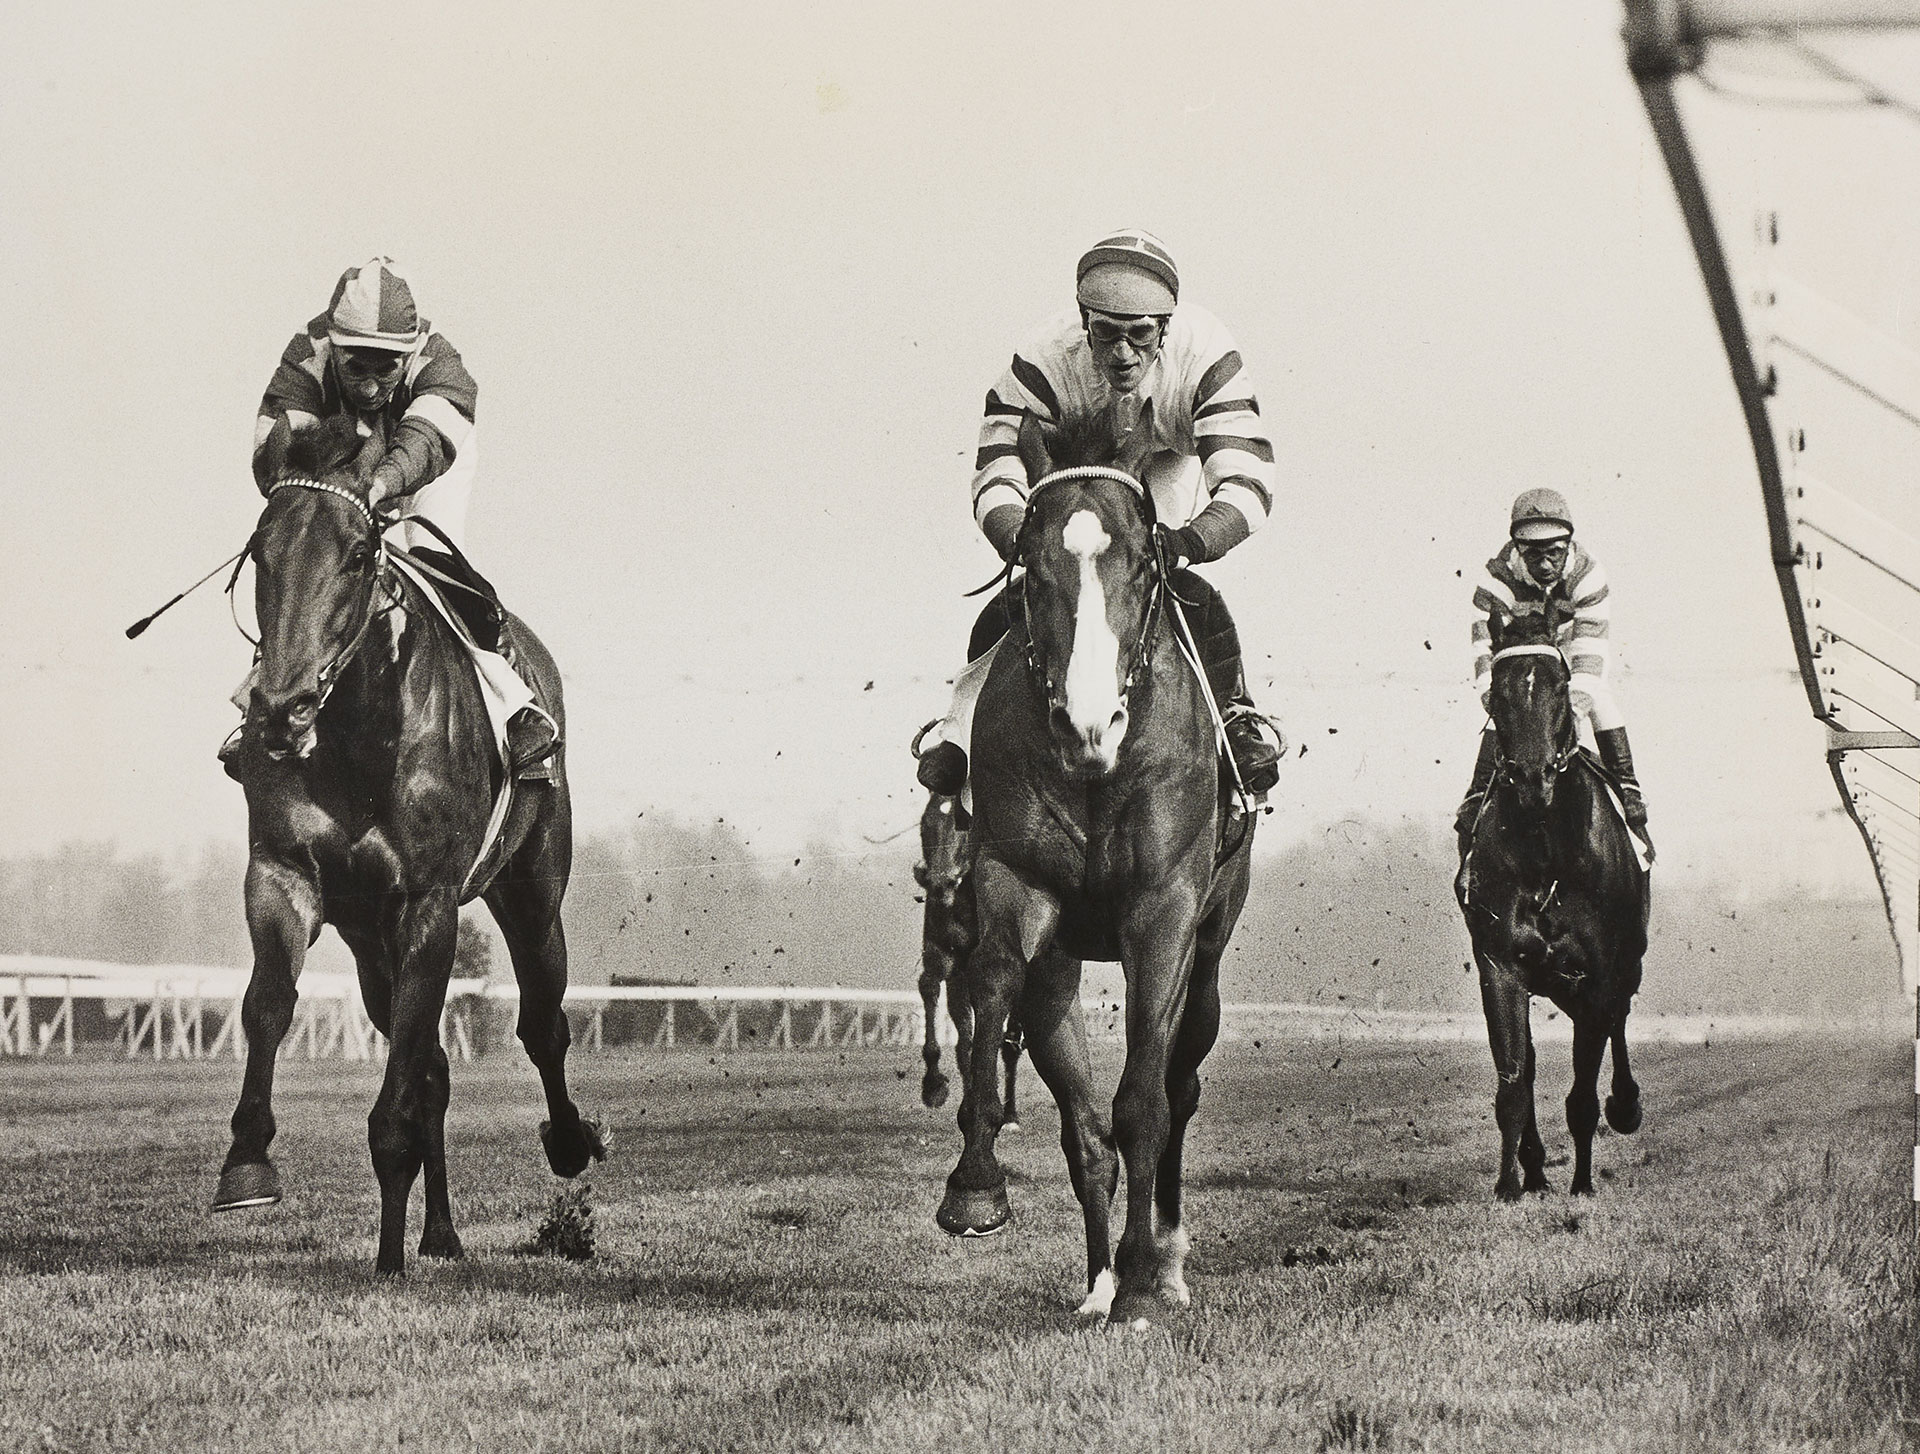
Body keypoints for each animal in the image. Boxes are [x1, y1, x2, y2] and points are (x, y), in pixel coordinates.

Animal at [211, 411, 602, 1267]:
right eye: (260, 552)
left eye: (359, 554)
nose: (281, 709)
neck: (361, 736)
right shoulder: (282, 876)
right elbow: (269, 1005)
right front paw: (248, 1162)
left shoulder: (430, 902)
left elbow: (413, 1075)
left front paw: (388, 1244)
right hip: (368, 943)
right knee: (434, 1066)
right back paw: (436, 1234)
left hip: (532, 889)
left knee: (541, 1023)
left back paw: (564, 1143)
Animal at [910, 787, 1029, 1129]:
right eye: (925, 823)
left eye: (964, 825)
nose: (940, 883)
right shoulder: (945, 960)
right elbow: (931, 989)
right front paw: (934, 1086)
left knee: (1010, 1044)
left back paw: (1011, 1113)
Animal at [933, 409, 1259, 1329]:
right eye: (1030, 568)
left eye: (1145, 563)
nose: (1088, 724)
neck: (1093, 770)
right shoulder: (1016, 886)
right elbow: (994, 995)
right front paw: (976, 1188)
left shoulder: (1163, 910)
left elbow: (1145, 1102)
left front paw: (1146, 1282)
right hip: (1065, 962)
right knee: (1082, 1126)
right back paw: (1099, 1280)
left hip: (1209, 950)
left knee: (1180, 1085)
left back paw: (1162, 1263)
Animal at [1459, 610, 1643, 1190]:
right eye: (1498, 689)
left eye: (1559, 685)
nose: (1531, 778)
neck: (1545, 854)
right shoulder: (1501, 966)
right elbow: (1514, 1082)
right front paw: (1509, 1187)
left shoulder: (1598, 975)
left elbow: (1583, 1094)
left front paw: (1582, 1184)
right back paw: (1535, 1170)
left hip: (1625, 968)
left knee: (1619, 1021)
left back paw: (1625, 1105)